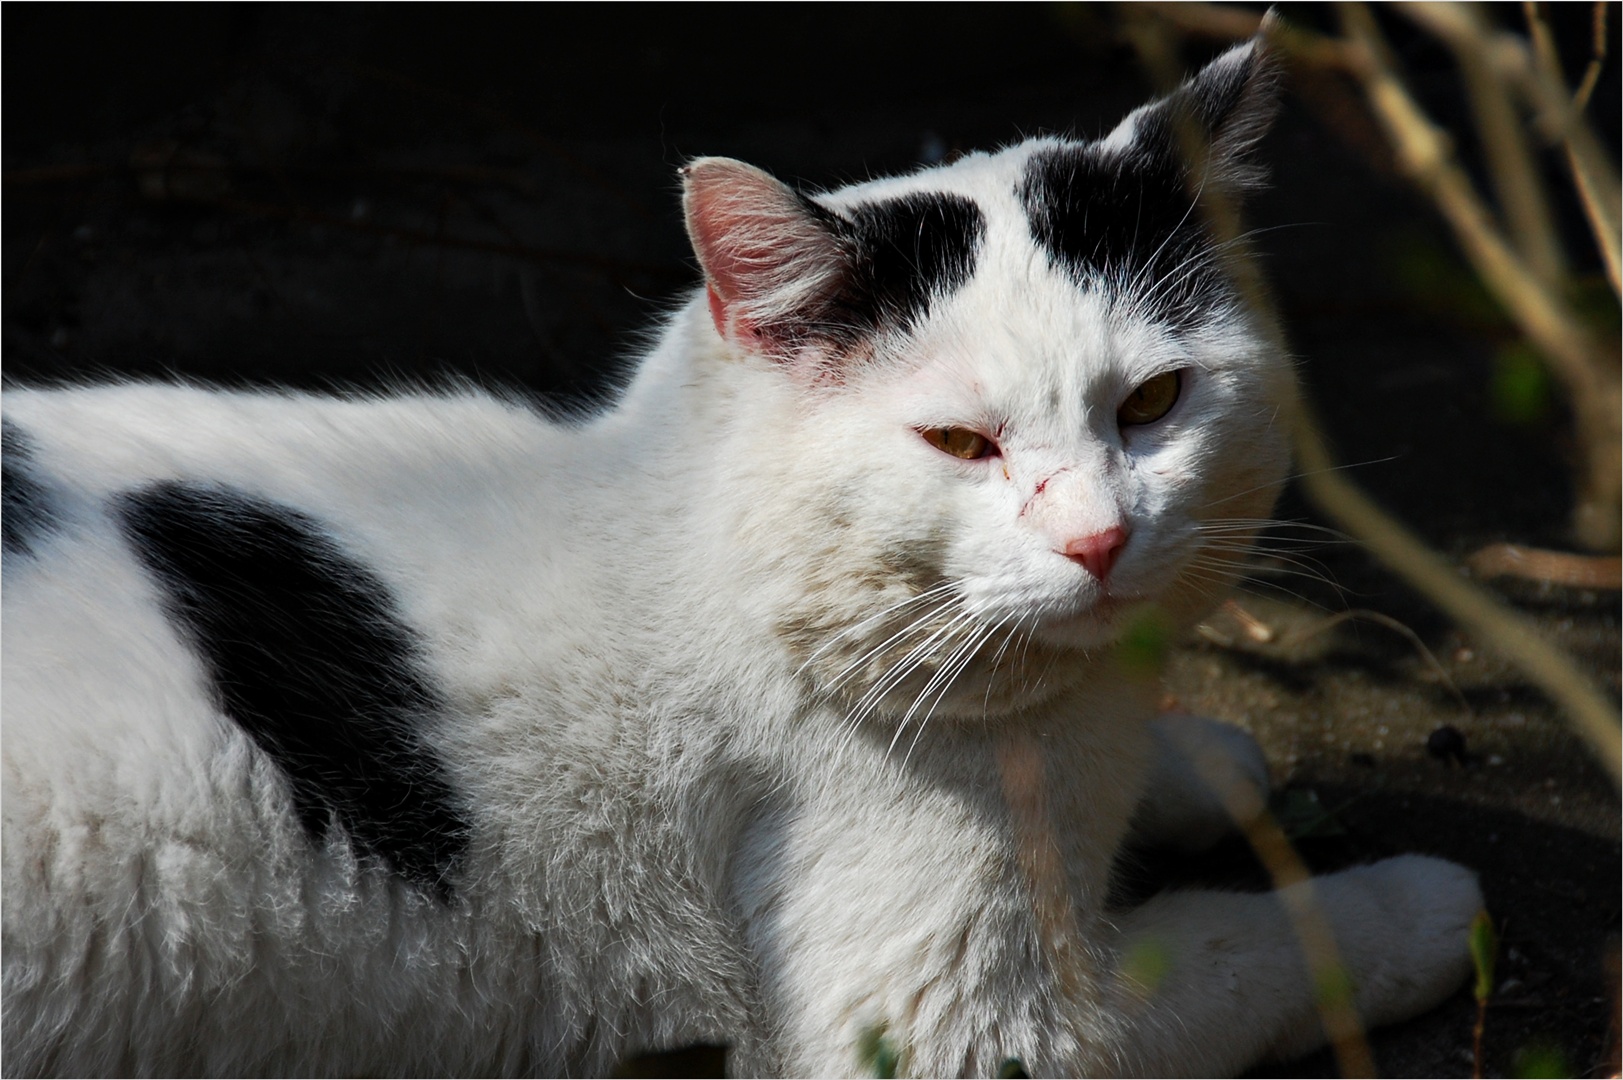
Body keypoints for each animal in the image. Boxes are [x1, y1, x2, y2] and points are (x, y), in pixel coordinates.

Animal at [3, 33, 1486, 1078]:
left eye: (1153, 404)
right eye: (959, 442)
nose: (1098, 537)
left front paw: (1199, 760)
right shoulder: (951, 1031)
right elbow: (1243, 950)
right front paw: (1415, 910)